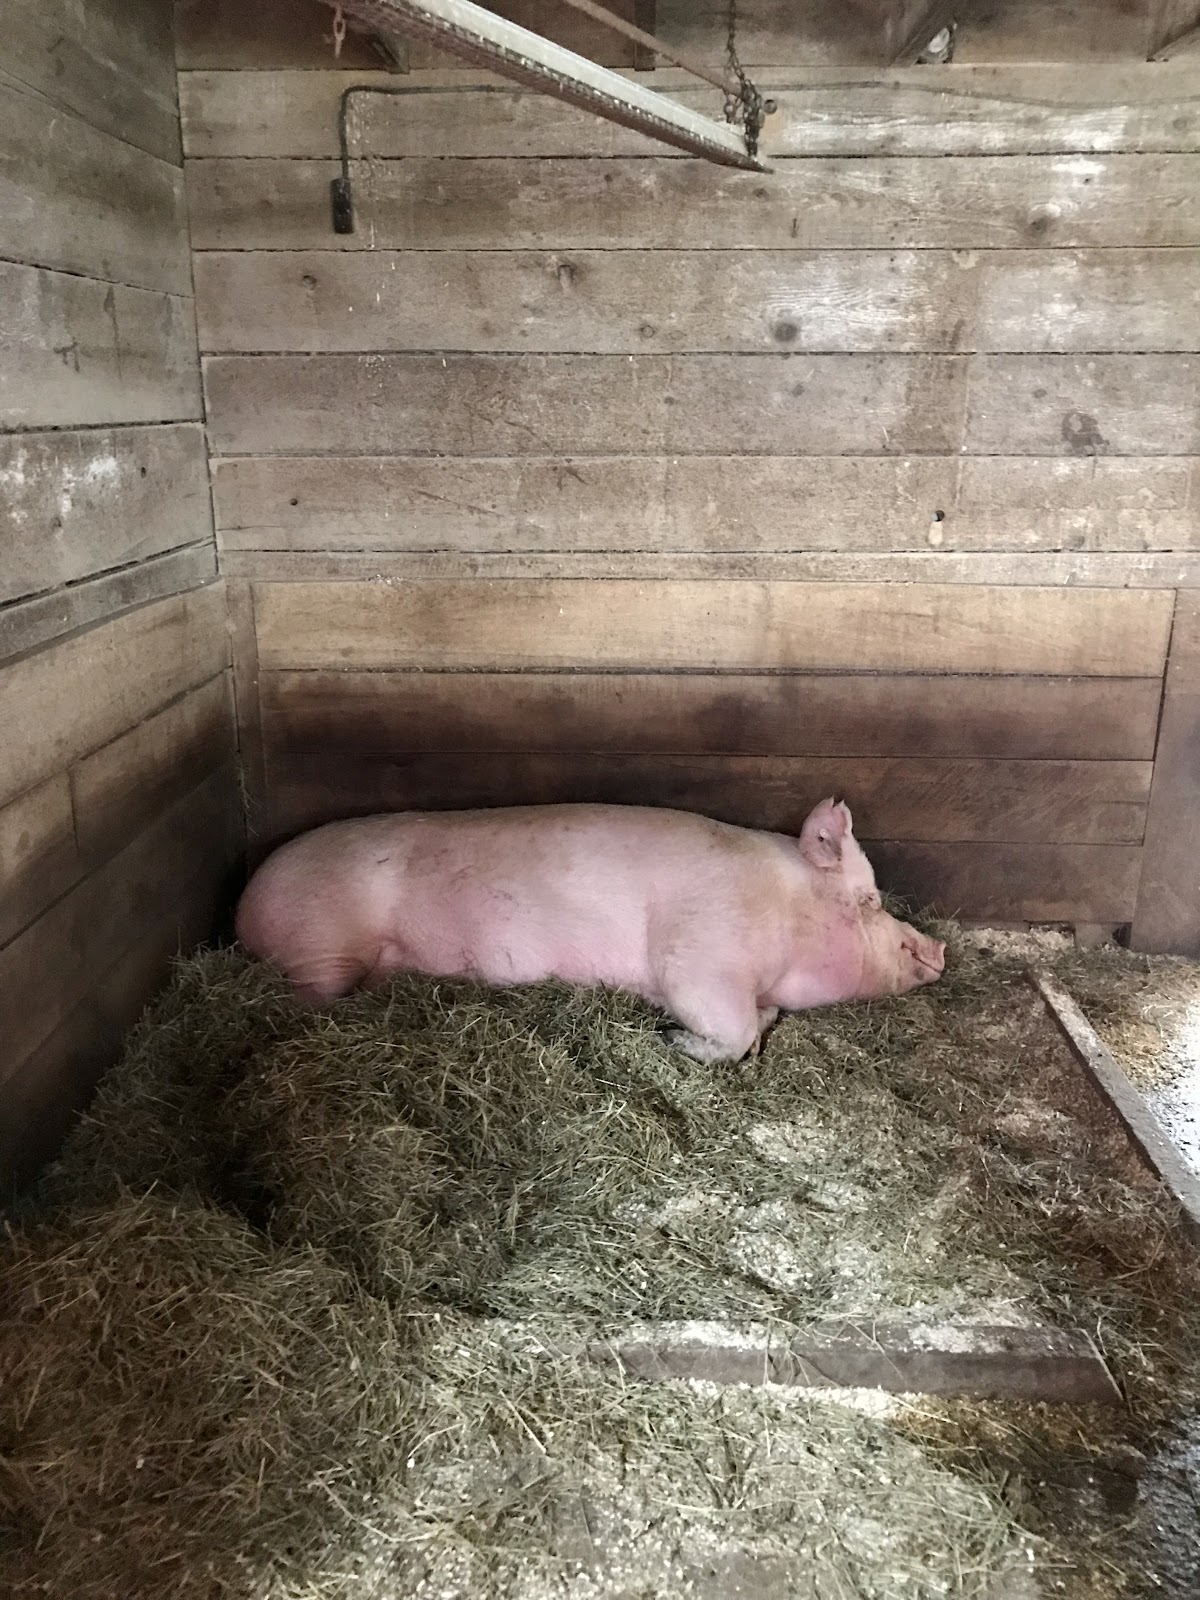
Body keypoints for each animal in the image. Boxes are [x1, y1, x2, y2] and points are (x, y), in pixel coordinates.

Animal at [235, 800, 947, 1062]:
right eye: (868, 898)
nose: (939, 948)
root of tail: (244, 905)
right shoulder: (700, 954)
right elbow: (735, 1028)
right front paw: (673, 1042)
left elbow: (761, 1022)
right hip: (322, 947)